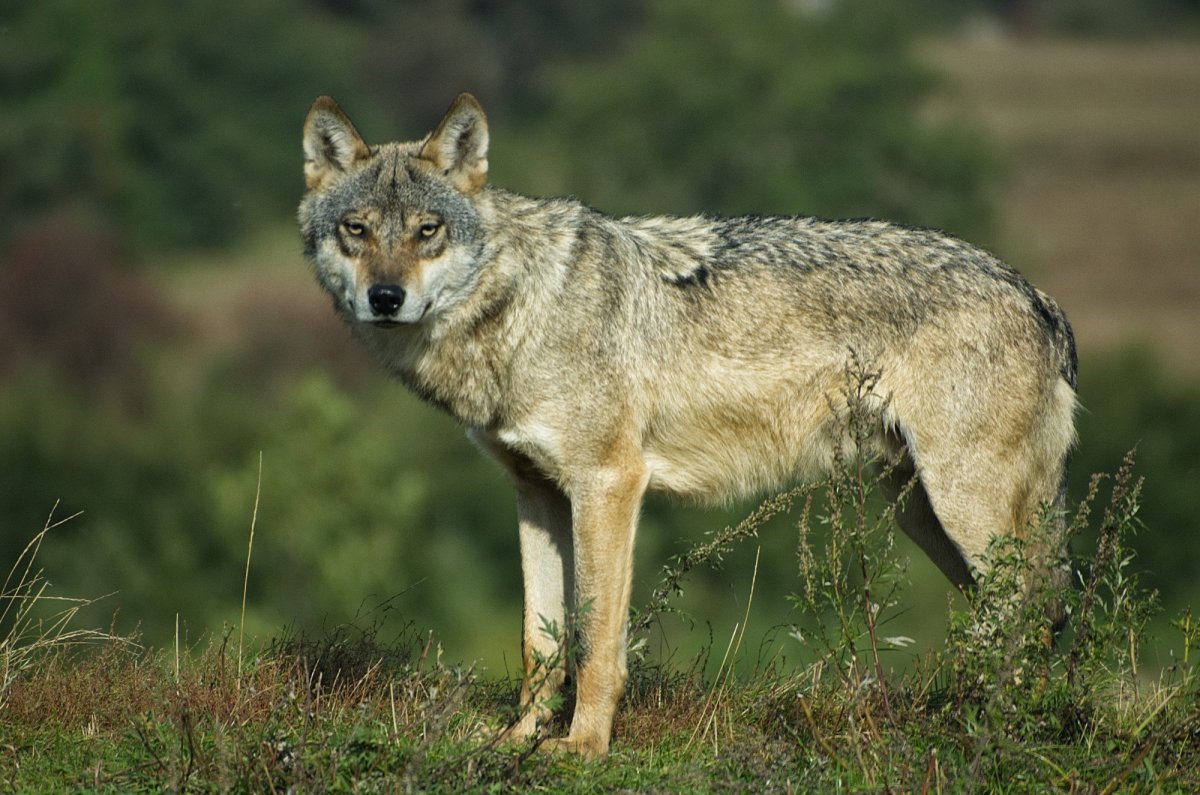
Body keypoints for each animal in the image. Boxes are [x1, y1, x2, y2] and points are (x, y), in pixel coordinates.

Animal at [299, 93, 1077, 758]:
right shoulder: (536, 494)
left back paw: (1011, 731)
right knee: (1019, 617)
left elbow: (595, 639)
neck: (522, 306)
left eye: (427, 231)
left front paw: (582, 748)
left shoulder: (609, 483)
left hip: (963, 506)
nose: (386, 297)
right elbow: (539, 642)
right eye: (356, 230)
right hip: (922, 512)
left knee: (1031, 611)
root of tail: (1037, 296)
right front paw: (517, 738)